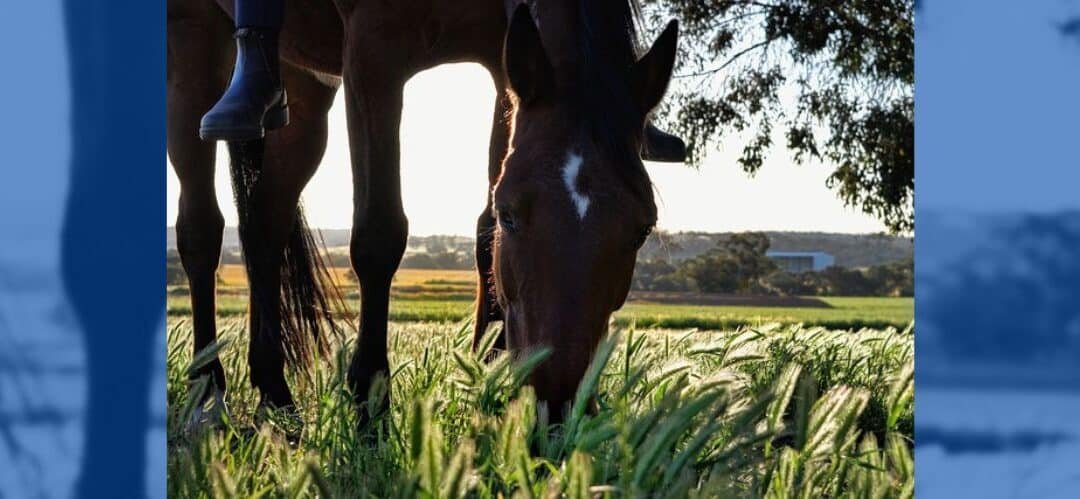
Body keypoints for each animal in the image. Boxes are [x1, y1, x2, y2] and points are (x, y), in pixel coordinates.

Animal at [167, 0, 682, 424]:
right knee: (201, 230)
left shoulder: (503, 61)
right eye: (512, 214)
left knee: (265, 221)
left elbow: (483, 234)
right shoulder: (373, 50)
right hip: (193, 37)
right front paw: (370, 404)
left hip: (303, 83)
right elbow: (379, 234)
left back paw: (275, 396)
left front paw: (489, 381)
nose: (556, 407)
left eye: (642, 229)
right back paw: (207, 393)